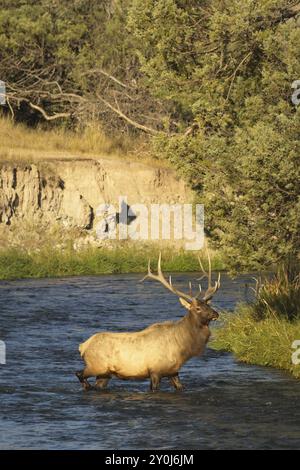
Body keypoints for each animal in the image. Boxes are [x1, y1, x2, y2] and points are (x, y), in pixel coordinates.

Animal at [75, 252, 220, 392]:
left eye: (208, 304)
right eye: (198, 308)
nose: (216, 314)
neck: (182, 348)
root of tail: (83, 346)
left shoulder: (173, 371)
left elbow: (180, 387)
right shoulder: (155, 371)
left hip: (105, 373)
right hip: (96, 365)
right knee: (79, 374)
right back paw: (86, 386)